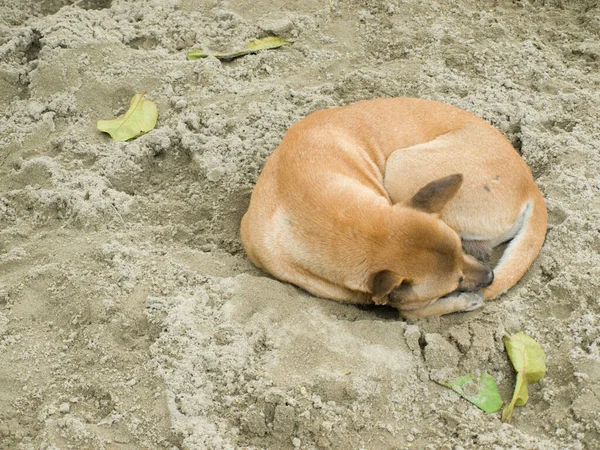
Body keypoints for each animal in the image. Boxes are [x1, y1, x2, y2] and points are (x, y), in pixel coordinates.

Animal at [240, 97, 548, 320]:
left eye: (460, 249)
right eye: (456, 280)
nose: (490, 275)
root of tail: (531, 186)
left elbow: (408, 310)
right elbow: (411, 309)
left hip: (402, 165)